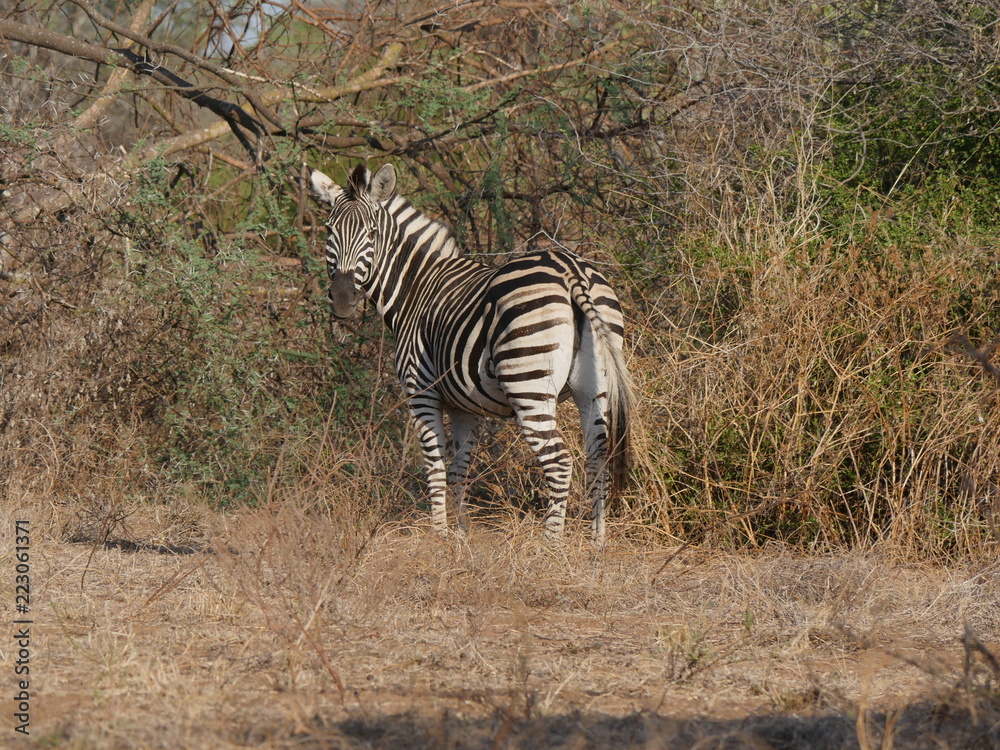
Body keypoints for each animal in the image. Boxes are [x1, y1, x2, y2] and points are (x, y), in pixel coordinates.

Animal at [308, 162, 633, 543]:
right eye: (329, 230)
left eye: (372, 234)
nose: (343, 300)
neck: (416, 287)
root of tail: (570, 270)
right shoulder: (467, 407)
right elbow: (458, 469)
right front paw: (461, 536)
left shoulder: (421, 392)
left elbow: (434, 466)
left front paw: (438, 536)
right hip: (594, 386)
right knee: (598, 458)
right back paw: (597, 544)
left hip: (529, 384)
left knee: (559, 462)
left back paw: (550, 545)